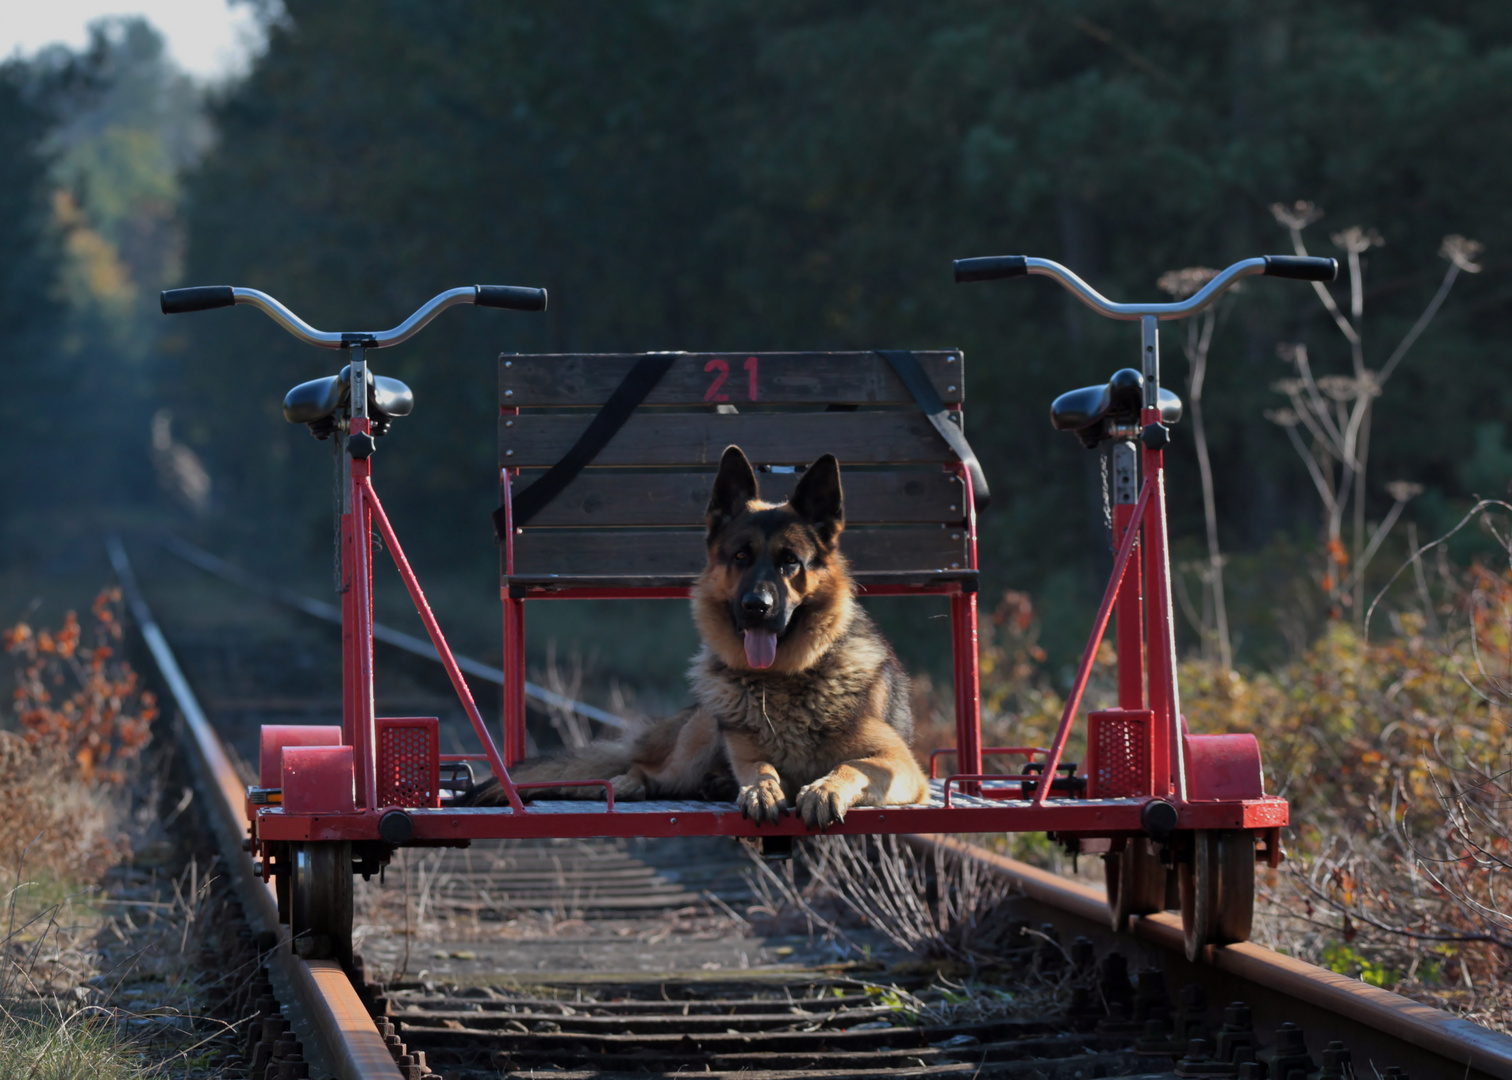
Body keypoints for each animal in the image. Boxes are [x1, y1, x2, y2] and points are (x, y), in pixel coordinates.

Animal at [456, 441, 931, 828]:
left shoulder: (901, 765)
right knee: (643, 769)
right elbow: (761, 769)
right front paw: (761, 789)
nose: (756, 607)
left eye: (790, 561)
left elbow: (850, 767)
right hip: (698, 737)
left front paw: (822, 789)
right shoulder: (746, 753)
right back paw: (633, 784)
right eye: (740, 556)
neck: (782, 680)